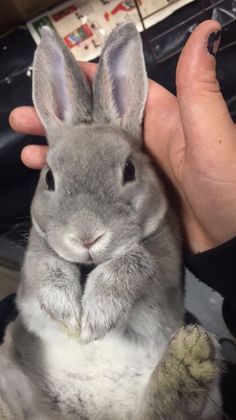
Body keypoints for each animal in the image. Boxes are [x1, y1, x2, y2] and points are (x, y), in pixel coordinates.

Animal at [0, 23, 221, 420]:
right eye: (49, 178)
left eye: (129, 170)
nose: (86, 236)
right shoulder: (33, 266)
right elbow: (44, 263)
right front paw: (70, 315)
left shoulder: (164, 264)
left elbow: (136, 261)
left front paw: (94, 318)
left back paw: (191, 356)